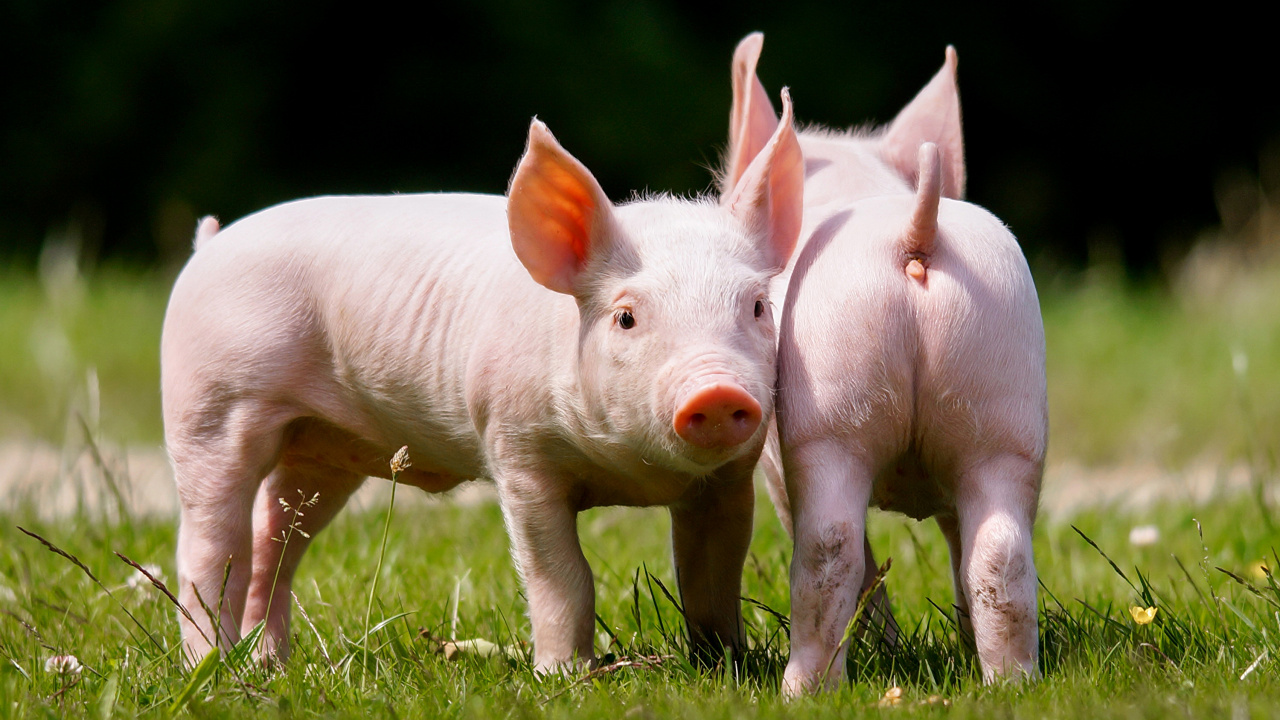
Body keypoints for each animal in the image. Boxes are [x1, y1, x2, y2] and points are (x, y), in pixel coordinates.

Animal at [161, 105, 805, 671]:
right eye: (626, 317)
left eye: (756, 306)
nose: (717, 392)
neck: (636, 477)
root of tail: (208, 244)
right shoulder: (516, 449)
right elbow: (561, 575)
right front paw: (563, 674)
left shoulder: (727, 480)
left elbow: (712, 574)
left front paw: (728, 664)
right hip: (208, 407)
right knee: (210, 548)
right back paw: (214, 669)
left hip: (321, 451)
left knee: (274, 541)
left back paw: (270, 665)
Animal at [722, 34, 1046, 693]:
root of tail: (916, 230)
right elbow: (960, 548)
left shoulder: (776, 471)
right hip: (1003, 407)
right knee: (999, 554)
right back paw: (1010, 684)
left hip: (827, 419)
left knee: (830, 549)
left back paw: (805, 690)